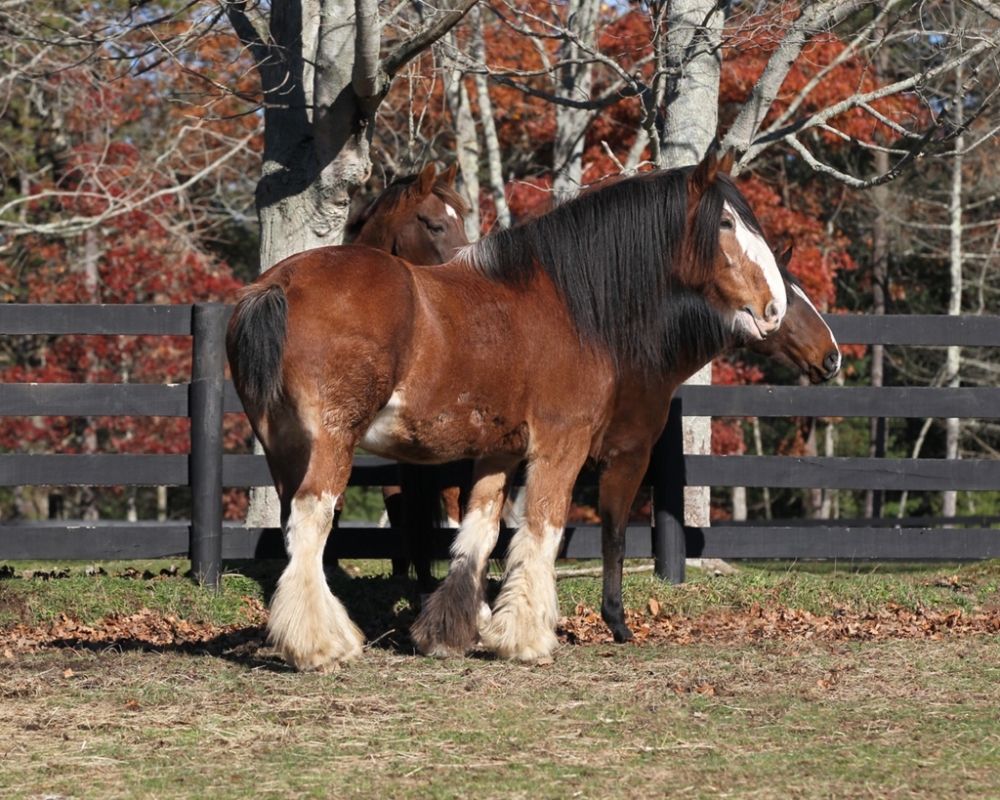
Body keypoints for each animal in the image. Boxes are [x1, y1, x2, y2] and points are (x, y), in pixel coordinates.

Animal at [227, 148, 788, 668]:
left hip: (284, 448)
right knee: (312, 519)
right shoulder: (561, 445)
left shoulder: (498, 452)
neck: (565, 300)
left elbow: (481, 532)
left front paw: (450, 631)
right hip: (332, 443)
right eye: (726, 222)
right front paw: (525, 638)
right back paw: (319, 645)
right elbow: (541, 529)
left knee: (295, 526)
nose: (775, 308)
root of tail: (278, 284)